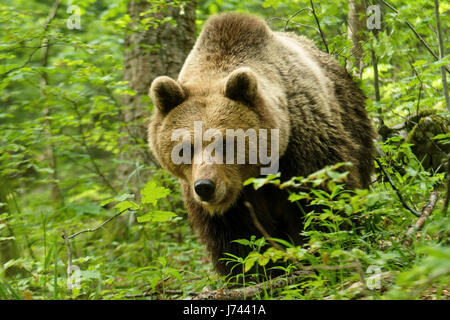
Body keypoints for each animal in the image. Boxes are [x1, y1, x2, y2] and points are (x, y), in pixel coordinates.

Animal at [148, 12, 376, 276]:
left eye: (226, 143)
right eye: (185, 148)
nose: (205, 186)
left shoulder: (303, 145)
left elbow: (322, 199)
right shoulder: (225, 201)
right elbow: (236, 238)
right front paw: (254, 273)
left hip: (352, 118)